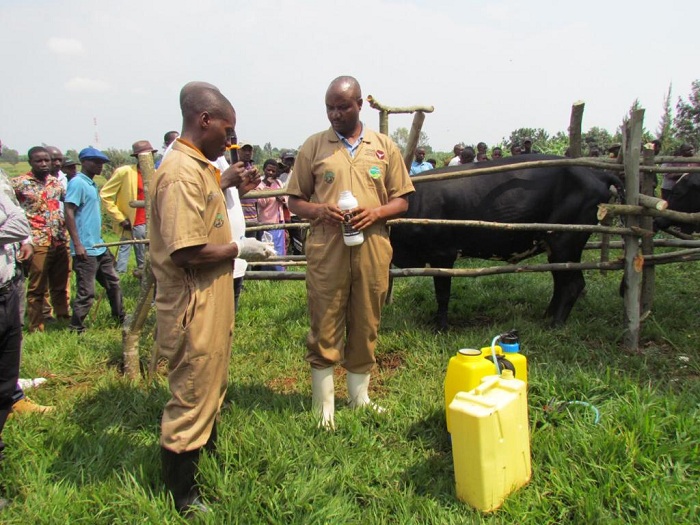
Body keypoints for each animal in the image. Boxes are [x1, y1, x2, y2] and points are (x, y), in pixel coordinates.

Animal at [392, 154, 620, 330]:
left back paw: (555, 325)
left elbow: (442, 293)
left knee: (572, 285)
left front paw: (440, 327)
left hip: (565, 242)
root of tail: (595, 173)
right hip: (556, 248)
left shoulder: (443, 255)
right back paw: (546, 316)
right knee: (561, 283)